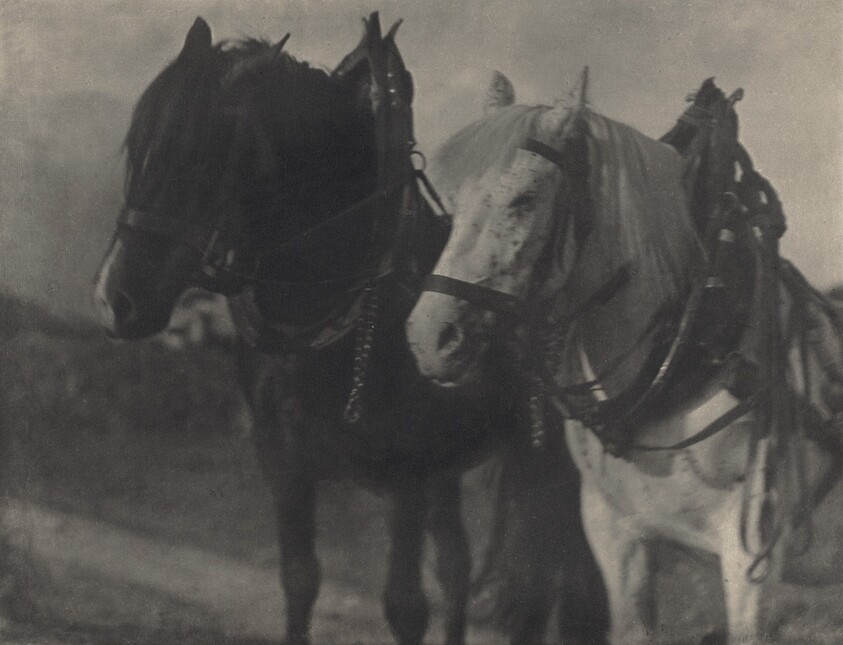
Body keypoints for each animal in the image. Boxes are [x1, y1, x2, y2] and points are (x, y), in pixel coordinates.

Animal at [92, 15, 608, 645]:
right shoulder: (286, 463)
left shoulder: (408, 472)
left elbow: (405, 606)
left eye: (199, 155)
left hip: (551, 469)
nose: (115, 299)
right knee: (460, 566)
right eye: (139, 148)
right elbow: (299, 579)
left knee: (563, 587)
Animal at [406, 76, 843, 644]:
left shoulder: (754, 557)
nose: (430, 336)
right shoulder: (616, 534)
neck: (682, 355)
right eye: (452, 204)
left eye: (525, 199)